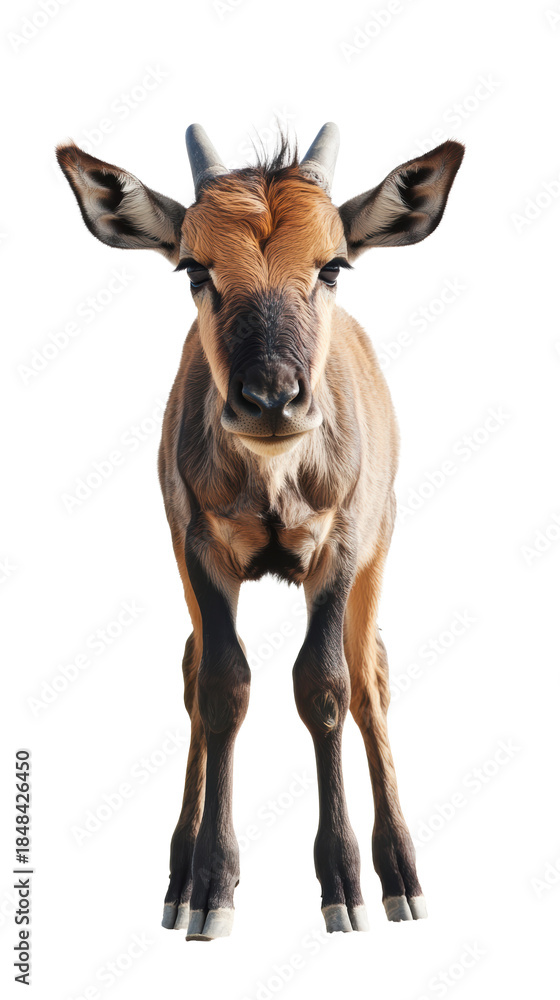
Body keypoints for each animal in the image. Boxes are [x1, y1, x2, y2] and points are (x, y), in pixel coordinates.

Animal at [57, 123, 463, 941]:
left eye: (332, 263)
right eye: (194, 267)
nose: (271, 397)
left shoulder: (341, 548)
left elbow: (328, 685)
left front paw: (345, 888)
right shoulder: (197, 548)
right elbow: (221, 686)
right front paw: (210, 888)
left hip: (381, 544)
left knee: (371, 674)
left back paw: (402, 876)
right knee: (192, 671)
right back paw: (179, 875)